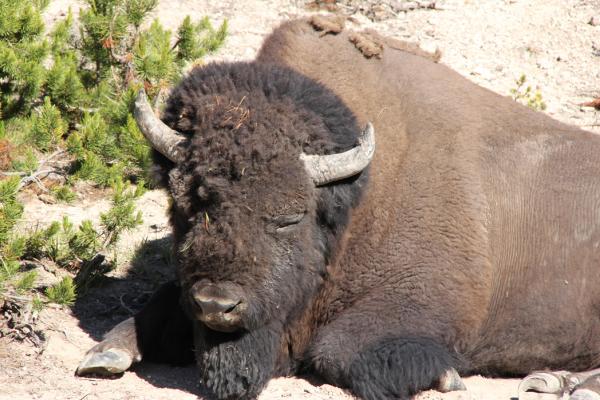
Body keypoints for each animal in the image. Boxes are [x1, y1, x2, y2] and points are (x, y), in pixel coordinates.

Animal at [77, 18, 600, 400]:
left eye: (289, 217)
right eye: (185, 207)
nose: (216, 304)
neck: (355, 202)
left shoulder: (420, 301)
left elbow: (335, 351)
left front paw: (446, 376)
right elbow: (158, 306)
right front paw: (106, 353)